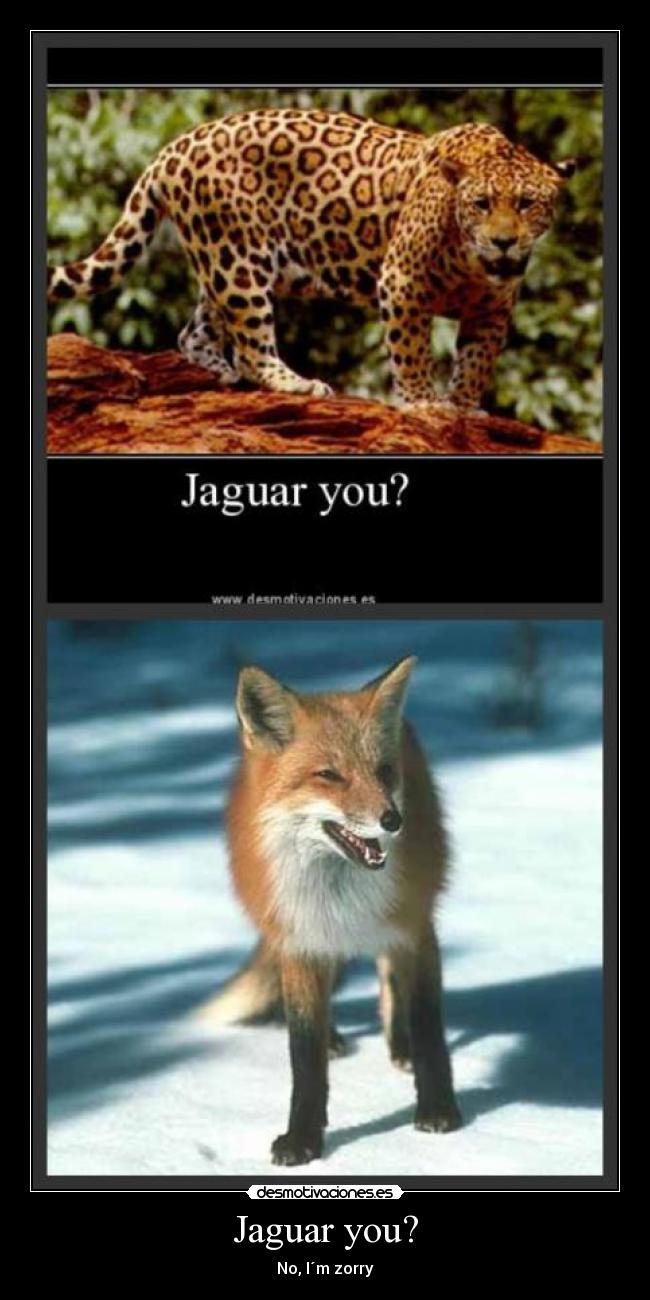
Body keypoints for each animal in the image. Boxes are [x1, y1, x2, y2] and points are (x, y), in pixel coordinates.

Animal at [47, 108, 575, 413]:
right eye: (481, 204)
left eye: (526, 204)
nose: (504, 242)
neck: (471, 260)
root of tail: (174, 146)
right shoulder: (401, 282)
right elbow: (411, 350)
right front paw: (424, 403)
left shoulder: (493, 308)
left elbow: (477, 360)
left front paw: (464, 406)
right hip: (239, 260)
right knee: (253, 344)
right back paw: (295, 384)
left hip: (223, 258)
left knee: (194, 331)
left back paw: (221, 374)